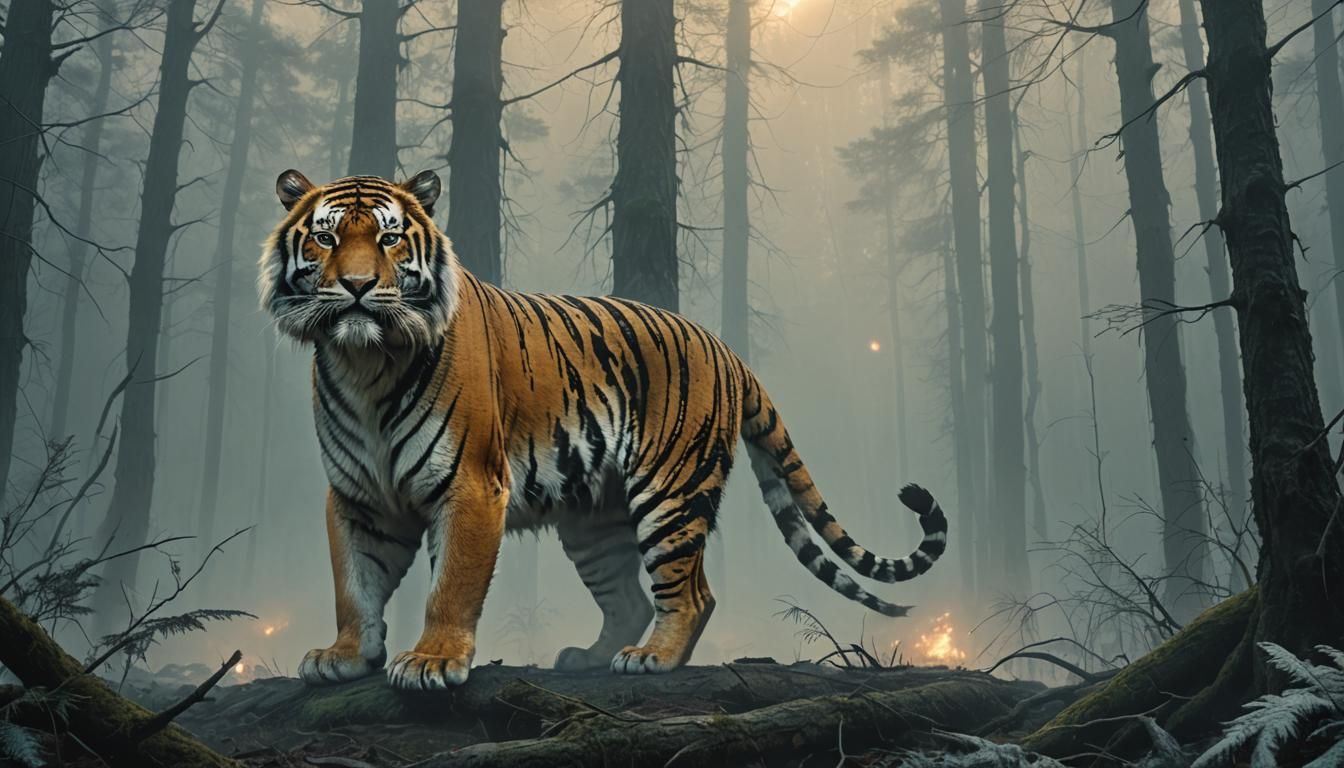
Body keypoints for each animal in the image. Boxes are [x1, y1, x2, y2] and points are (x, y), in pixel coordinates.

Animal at [259, 169, 950, 690]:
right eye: (324, 239)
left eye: (390, 239)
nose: (356, 286)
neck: (365, 363)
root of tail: (727, 350)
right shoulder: (357, 497)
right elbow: (354, 582)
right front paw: (344, 656)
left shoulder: (471, 485)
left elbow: (450, 584)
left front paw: (431, 661)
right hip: (593, 518)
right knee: (632, 598)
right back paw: (588, 658)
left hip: (669, 491)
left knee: (691, 592)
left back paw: (652, 659)